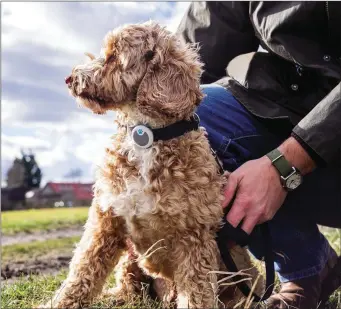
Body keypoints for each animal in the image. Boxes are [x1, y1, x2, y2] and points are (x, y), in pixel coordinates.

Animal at [45, 20, 262, 306]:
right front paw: (58, 303)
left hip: (240, 272)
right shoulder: (105, 221)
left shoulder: (193, 237)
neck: (145, 134)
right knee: (129, 290)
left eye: (114, 56)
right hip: (130, 260)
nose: (70, 78)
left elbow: (196, 294)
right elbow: (82, 271)